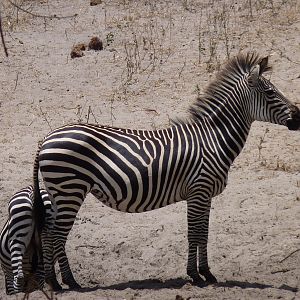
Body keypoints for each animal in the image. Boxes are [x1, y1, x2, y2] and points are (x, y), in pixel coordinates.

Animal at [32, 52, 300, 290]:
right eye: (270, 92)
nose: (298, 116)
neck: (214, 140)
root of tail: (46, 138)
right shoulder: (198, 190)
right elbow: (194, 233)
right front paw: (195, 275)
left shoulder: (205, 195)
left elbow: (204, 233)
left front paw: (207, 273)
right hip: (70, 189)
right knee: (57, 234)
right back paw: (70, 282)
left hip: (57, 192)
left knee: (48, 232)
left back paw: (54, 282)